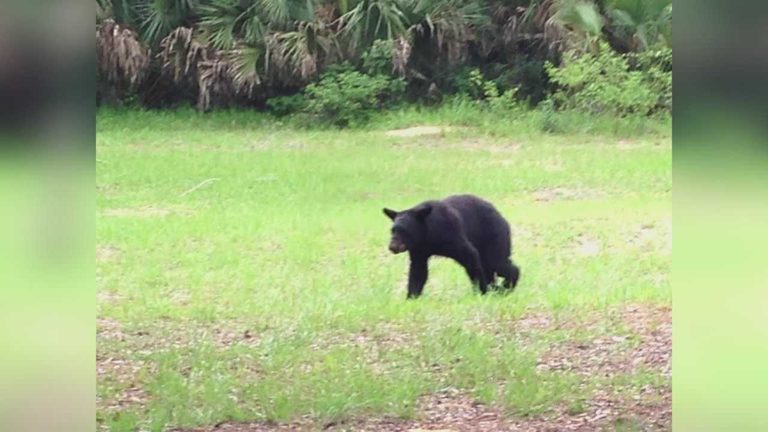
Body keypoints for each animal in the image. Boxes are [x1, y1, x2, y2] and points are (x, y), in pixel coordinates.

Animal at [383, 194, 520, 299]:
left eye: (404, 231)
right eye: (393, 230)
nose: (392, 246)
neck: (427, 234)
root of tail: (501, 216)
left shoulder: (450, 233)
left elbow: (470, 256)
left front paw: (482, 290)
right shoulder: (419, 249)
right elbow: (418, 270)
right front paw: (412, 296)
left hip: (493, 236)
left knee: (497, 262)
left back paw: (507, 285)